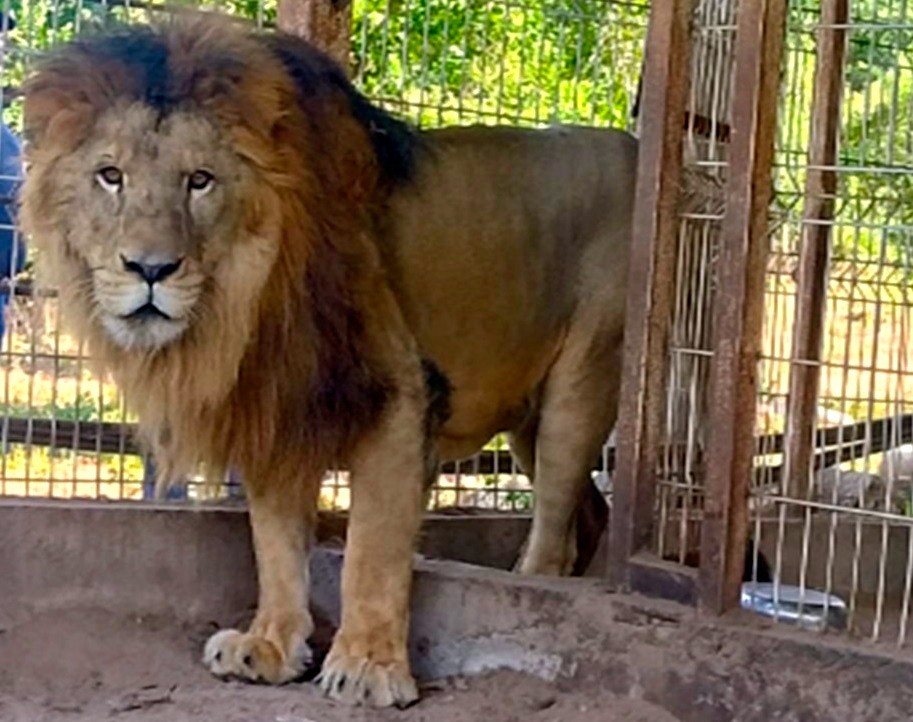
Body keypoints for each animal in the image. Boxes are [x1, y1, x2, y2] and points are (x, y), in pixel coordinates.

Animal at [17, 12, 636, 708]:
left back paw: (529, 590)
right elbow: (275, 542)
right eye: (111, 175)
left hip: (580, 387)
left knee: (555, 524)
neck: (244, 304)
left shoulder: (401, 395)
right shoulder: (273, 402)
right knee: (589, 512)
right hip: (527, 419)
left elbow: (372, 546)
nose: (150, 269)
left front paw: (368, 666)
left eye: (199, 180)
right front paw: (269, 646)